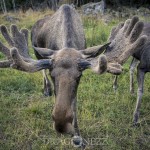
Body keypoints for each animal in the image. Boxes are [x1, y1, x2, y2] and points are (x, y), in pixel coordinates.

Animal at [0, 4, 147, 148]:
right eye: (53, 75)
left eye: (79, 76)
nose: (61, 125)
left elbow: (74, 105)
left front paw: (77, 137)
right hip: (38, 54)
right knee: (41, 70)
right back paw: (46, 89)